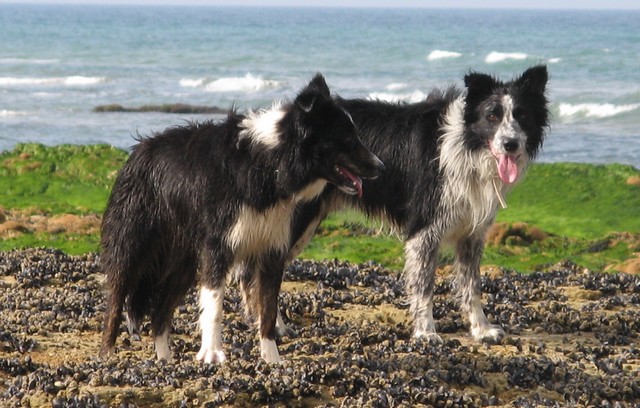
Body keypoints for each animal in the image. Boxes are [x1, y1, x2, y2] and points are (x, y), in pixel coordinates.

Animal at [97, 74, 382, 364]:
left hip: (183, 261)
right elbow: (214, 305)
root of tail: (139, 150)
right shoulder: (217, 247)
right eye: (347, 139)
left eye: (355, 136)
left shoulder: (271, 249)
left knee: (159, 314)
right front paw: (212, 354)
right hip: (132, 245)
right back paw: (107, 353)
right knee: (116, 300)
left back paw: (164, 359)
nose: (381, 167)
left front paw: (272, 358)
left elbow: (268, 309)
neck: (268, 165)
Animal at [288, 66, 548, 344]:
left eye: (522, 115)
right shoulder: (425, 230)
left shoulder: (471, 233)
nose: (511, 144)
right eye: (492, 116)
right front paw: (426, 332)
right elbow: (424, 287)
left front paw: (481, 329)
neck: (466, 146)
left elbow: (472, 286)